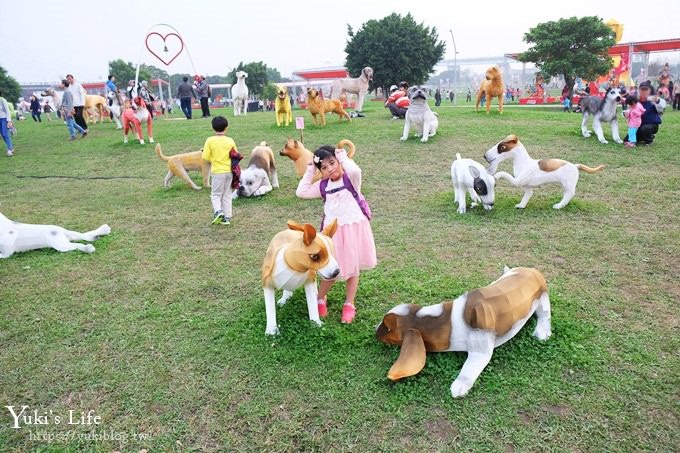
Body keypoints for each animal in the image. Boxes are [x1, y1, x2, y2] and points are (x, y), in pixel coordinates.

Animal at [378, 266, 552, 398]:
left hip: (542, 297)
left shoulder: (481, 348)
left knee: (544, 313)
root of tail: (530, 269)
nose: (375, 332)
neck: (449, 320)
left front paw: (459, 386)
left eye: (388, 328)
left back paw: (542, 332)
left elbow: (469, 368)